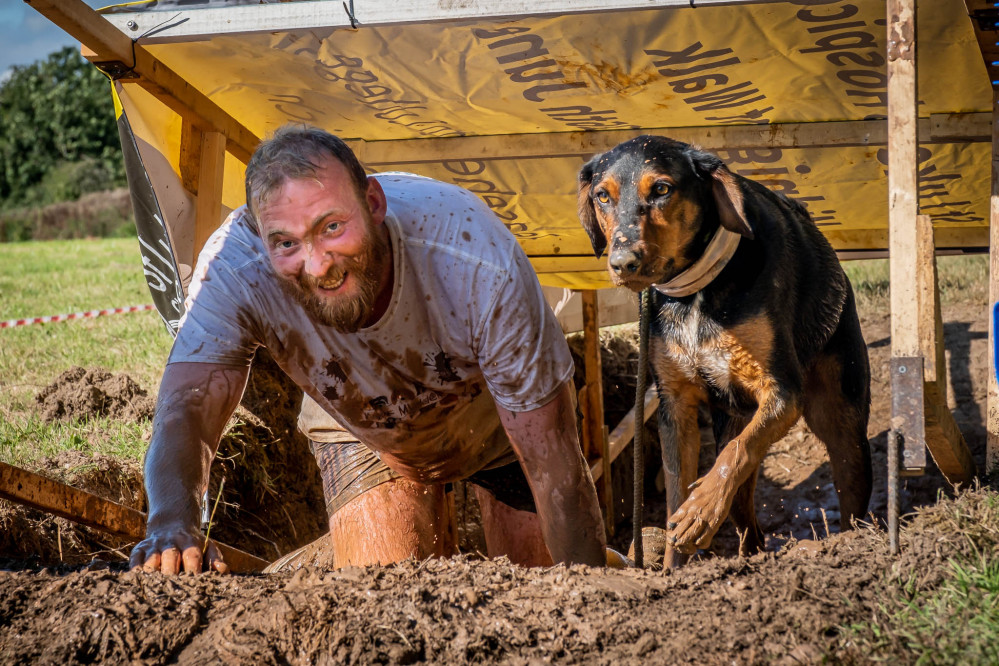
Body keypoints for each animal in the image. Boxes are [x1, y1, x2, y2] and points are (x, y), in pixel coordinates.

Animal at [580, 135, 876, 560]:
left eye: (662, 190)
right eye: (602, 196)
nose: (622, 262)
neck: (694, 292)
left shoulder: (783, 392)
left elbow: (734, 453)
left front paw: (699, 512)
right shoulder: (675, 408)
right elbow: (676, 494)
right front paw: (674, 564)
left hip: (842, 422)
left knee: (848, 488)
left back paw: (851, 544)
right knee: (747, 516)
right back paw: (748, 559)